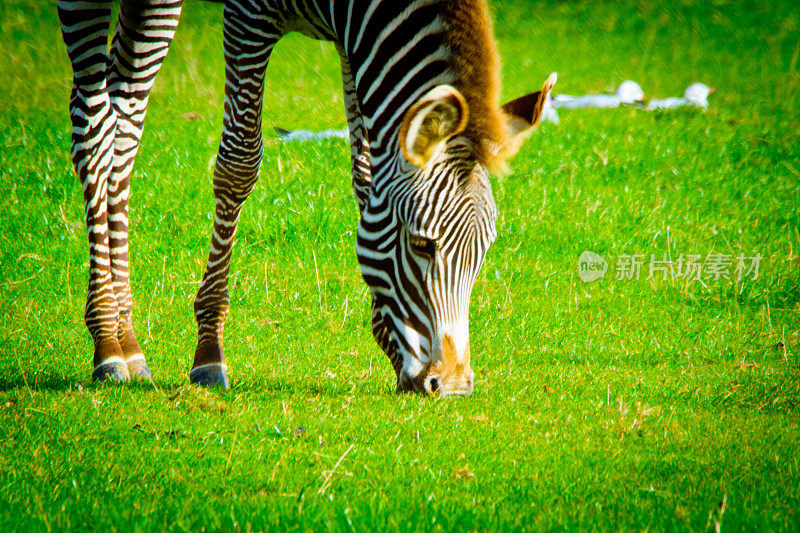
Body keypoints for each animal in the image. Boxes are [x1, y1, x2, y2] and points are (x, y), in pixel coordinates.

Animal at [59, 0, 556, 394]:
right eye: (421, 244)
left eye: (485, 251)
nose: (452, 385)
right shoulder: (248, 17)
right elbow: (239, 163)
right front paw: (209, 352)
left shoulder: (357, 41)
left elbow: (365, 173)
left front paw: (388, 339)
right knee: (95, 121)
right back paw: (108, 341)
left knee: (124, 123)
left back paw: (126, 337)